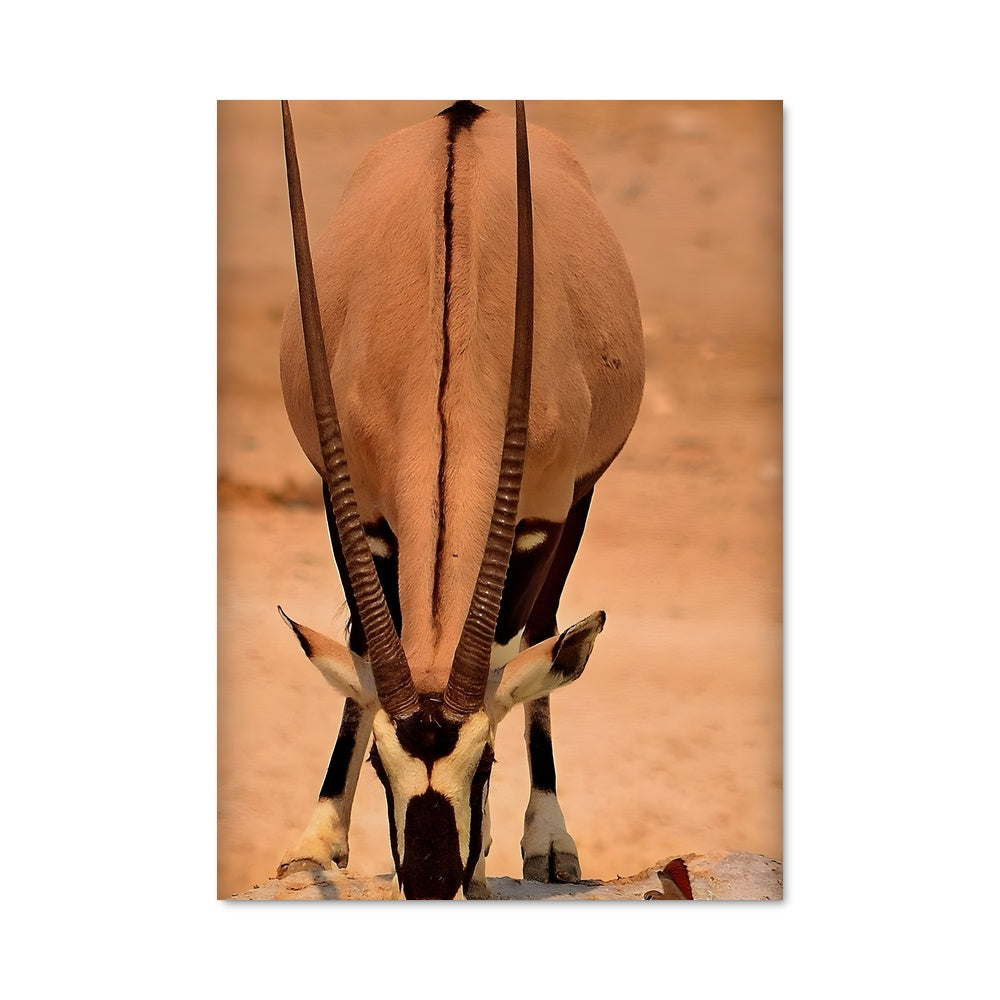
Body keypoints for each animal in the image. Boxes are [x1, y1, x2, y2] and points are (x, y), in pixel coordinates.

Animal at [275, 100, 644, 899]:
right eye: (382, 764)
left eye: (487, 760)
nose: (431, 879)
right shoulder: (355, 508)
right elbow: (360, 648)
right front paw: (317, 842)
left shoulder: (547, 514)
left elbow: (520, 652)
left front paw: (513, 853)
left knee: (547, 629)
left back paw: (549, 842)